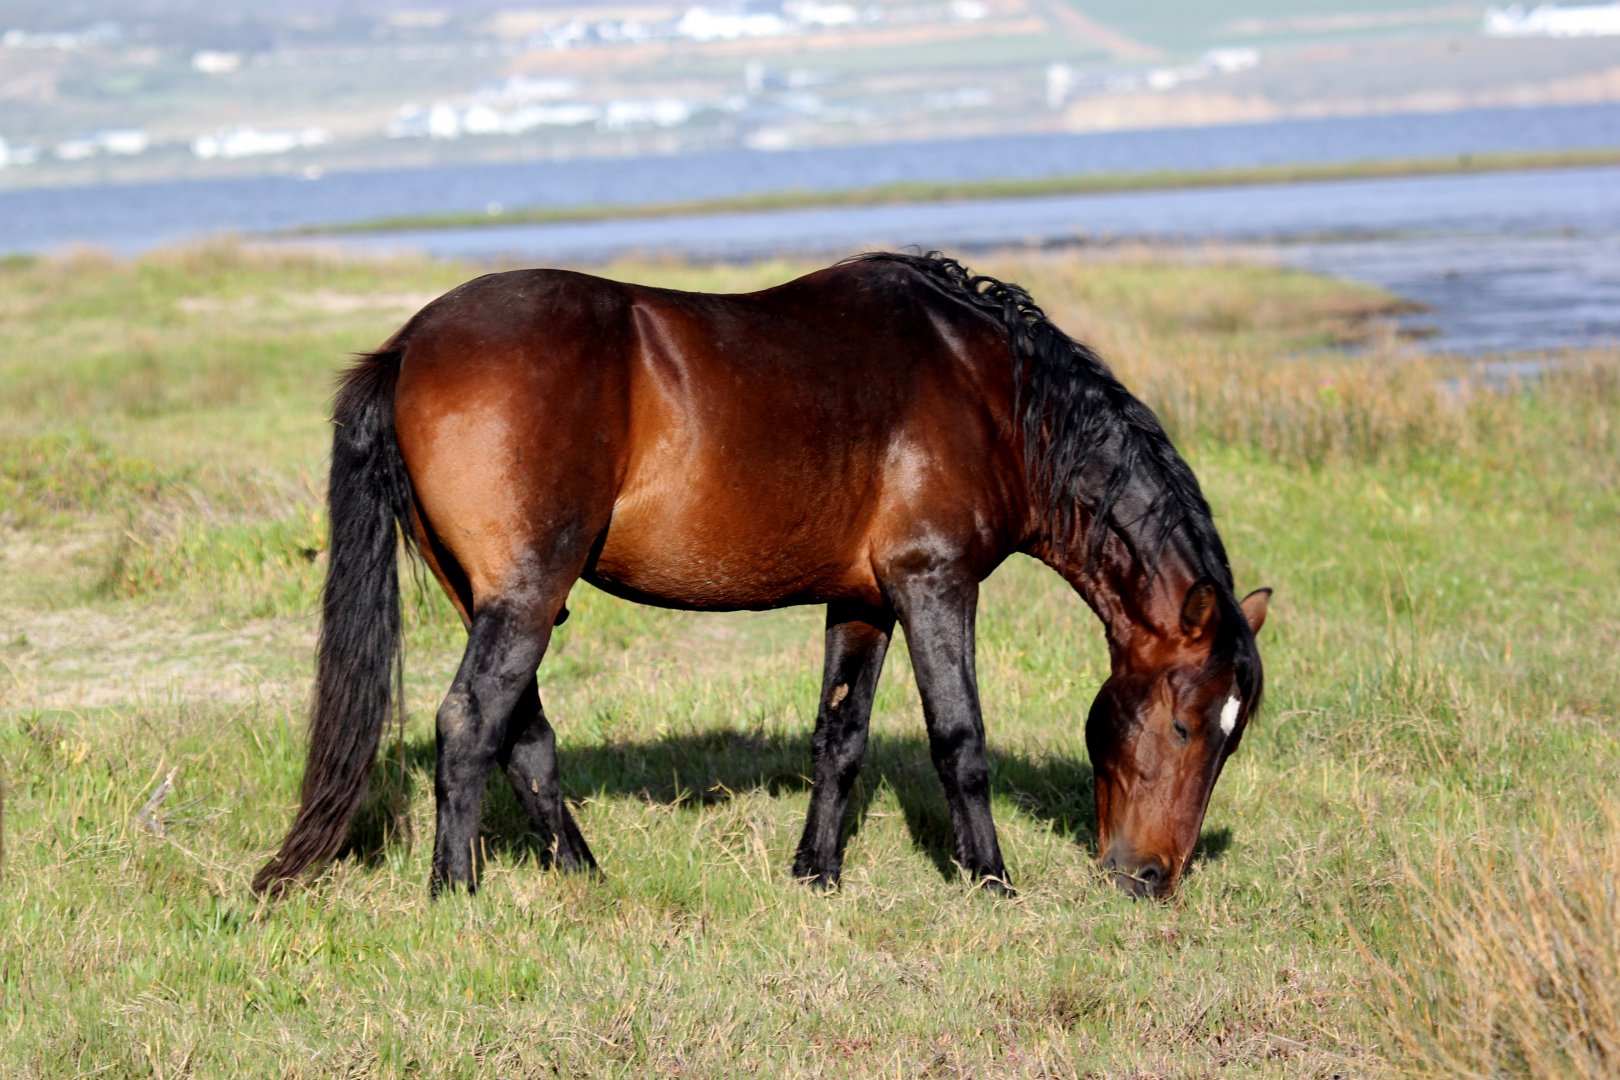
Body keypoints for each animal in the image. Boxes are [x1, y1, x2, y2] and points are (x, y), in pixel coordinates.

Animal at [252, 251, 1269, 901]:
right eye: (1186, 724)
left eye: (1231, 738)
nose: (1150, 879)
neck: (996, 395)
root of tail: (409, 344)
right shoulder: (934, 582)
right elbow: (960, 740)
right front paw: (991, 880)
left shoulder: (861, 601)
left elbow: (840, 738)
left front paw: (816, 873)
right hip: (527, 593)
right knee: (470, 723)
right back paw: (457, 891)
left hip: (495, 597)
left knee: (521, 732)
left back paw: (583, 876)